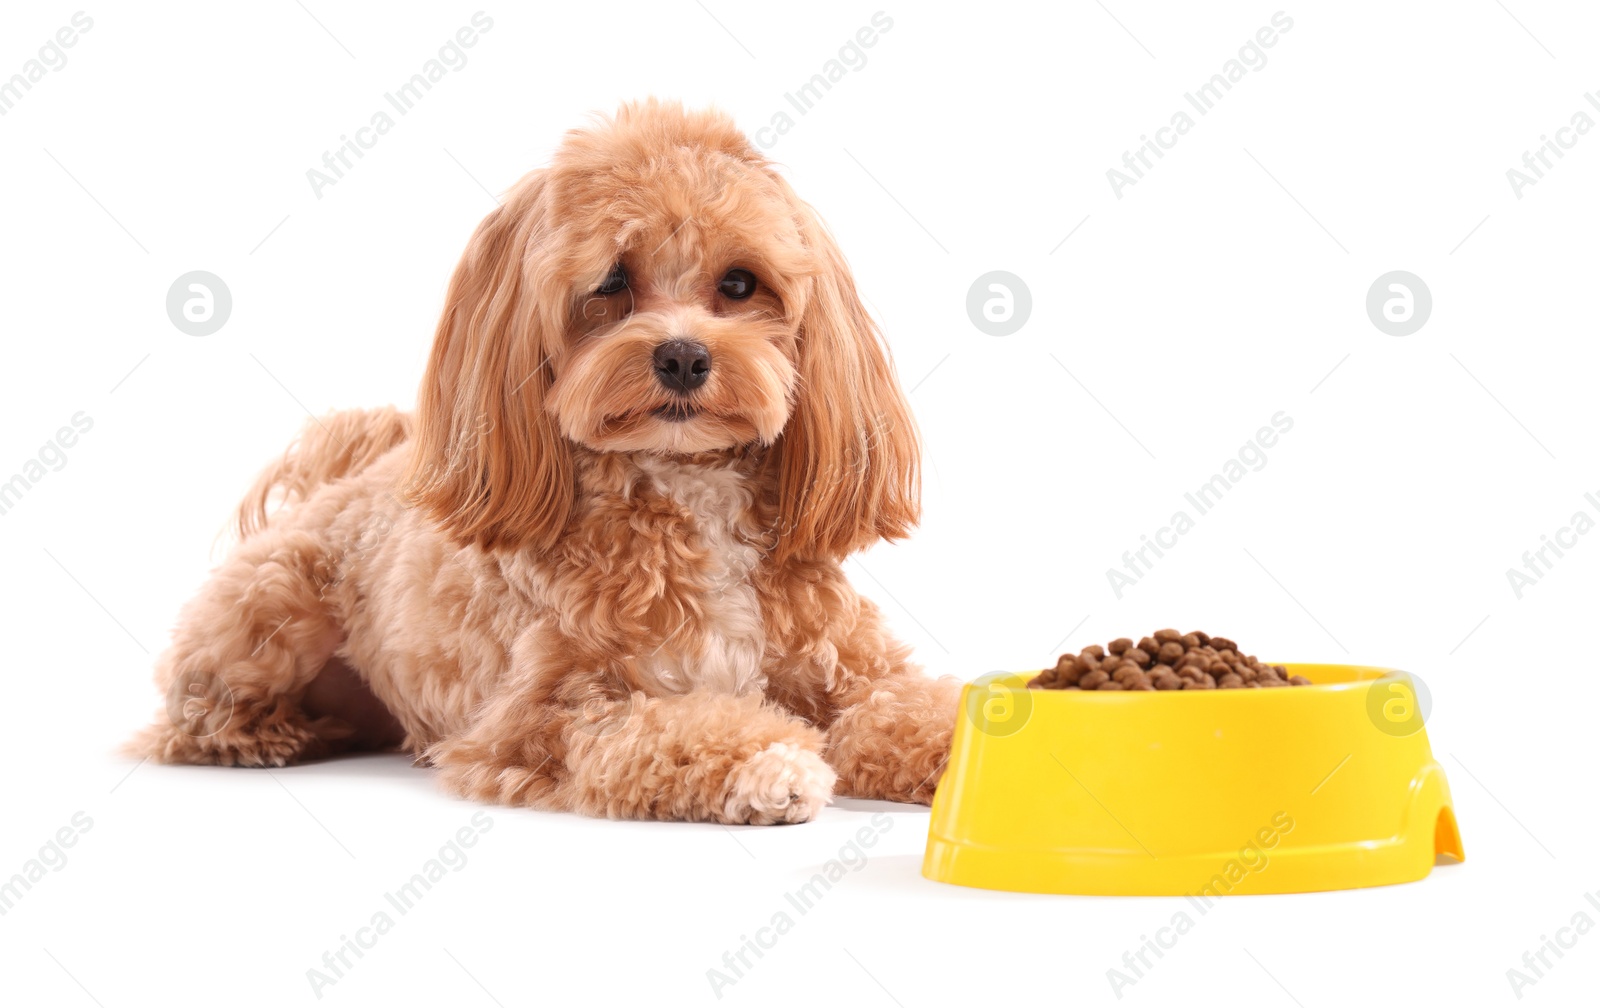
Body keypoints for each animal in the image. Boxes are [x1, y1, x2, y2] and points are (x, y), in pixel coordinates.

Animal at [131, 100, 953, 832]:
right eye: (612, 281)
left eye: (740, 283)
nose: (684, 357)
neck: (690, 489)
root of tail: (352, 475)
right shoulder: (548, 714)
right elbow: (666, 731)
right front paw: (765, 762)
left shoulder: (854, 670)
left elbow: (907, 709)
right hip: (271, 615)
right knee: (194, 713)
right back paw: (272, 735)